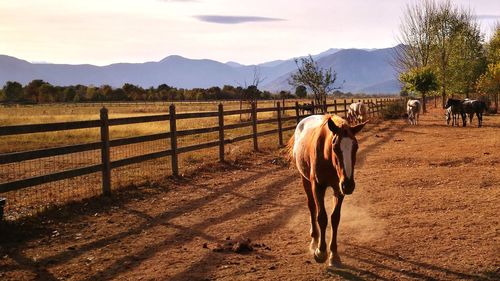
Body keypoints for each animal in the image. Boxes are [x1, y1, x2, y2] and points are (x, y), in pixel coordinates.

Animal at [288, 114, 366, 266]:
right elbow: (322, 217)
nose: (349, 185)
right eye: (335, 147)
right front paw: (321, 251)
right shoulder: (318, 187)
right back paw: (314, 239)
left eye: (356, 147)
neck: (327, 158)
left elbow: (335, 218)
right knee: (312, 207)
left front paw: (334, 254)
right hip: (305, 180)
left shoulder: (339, 189)